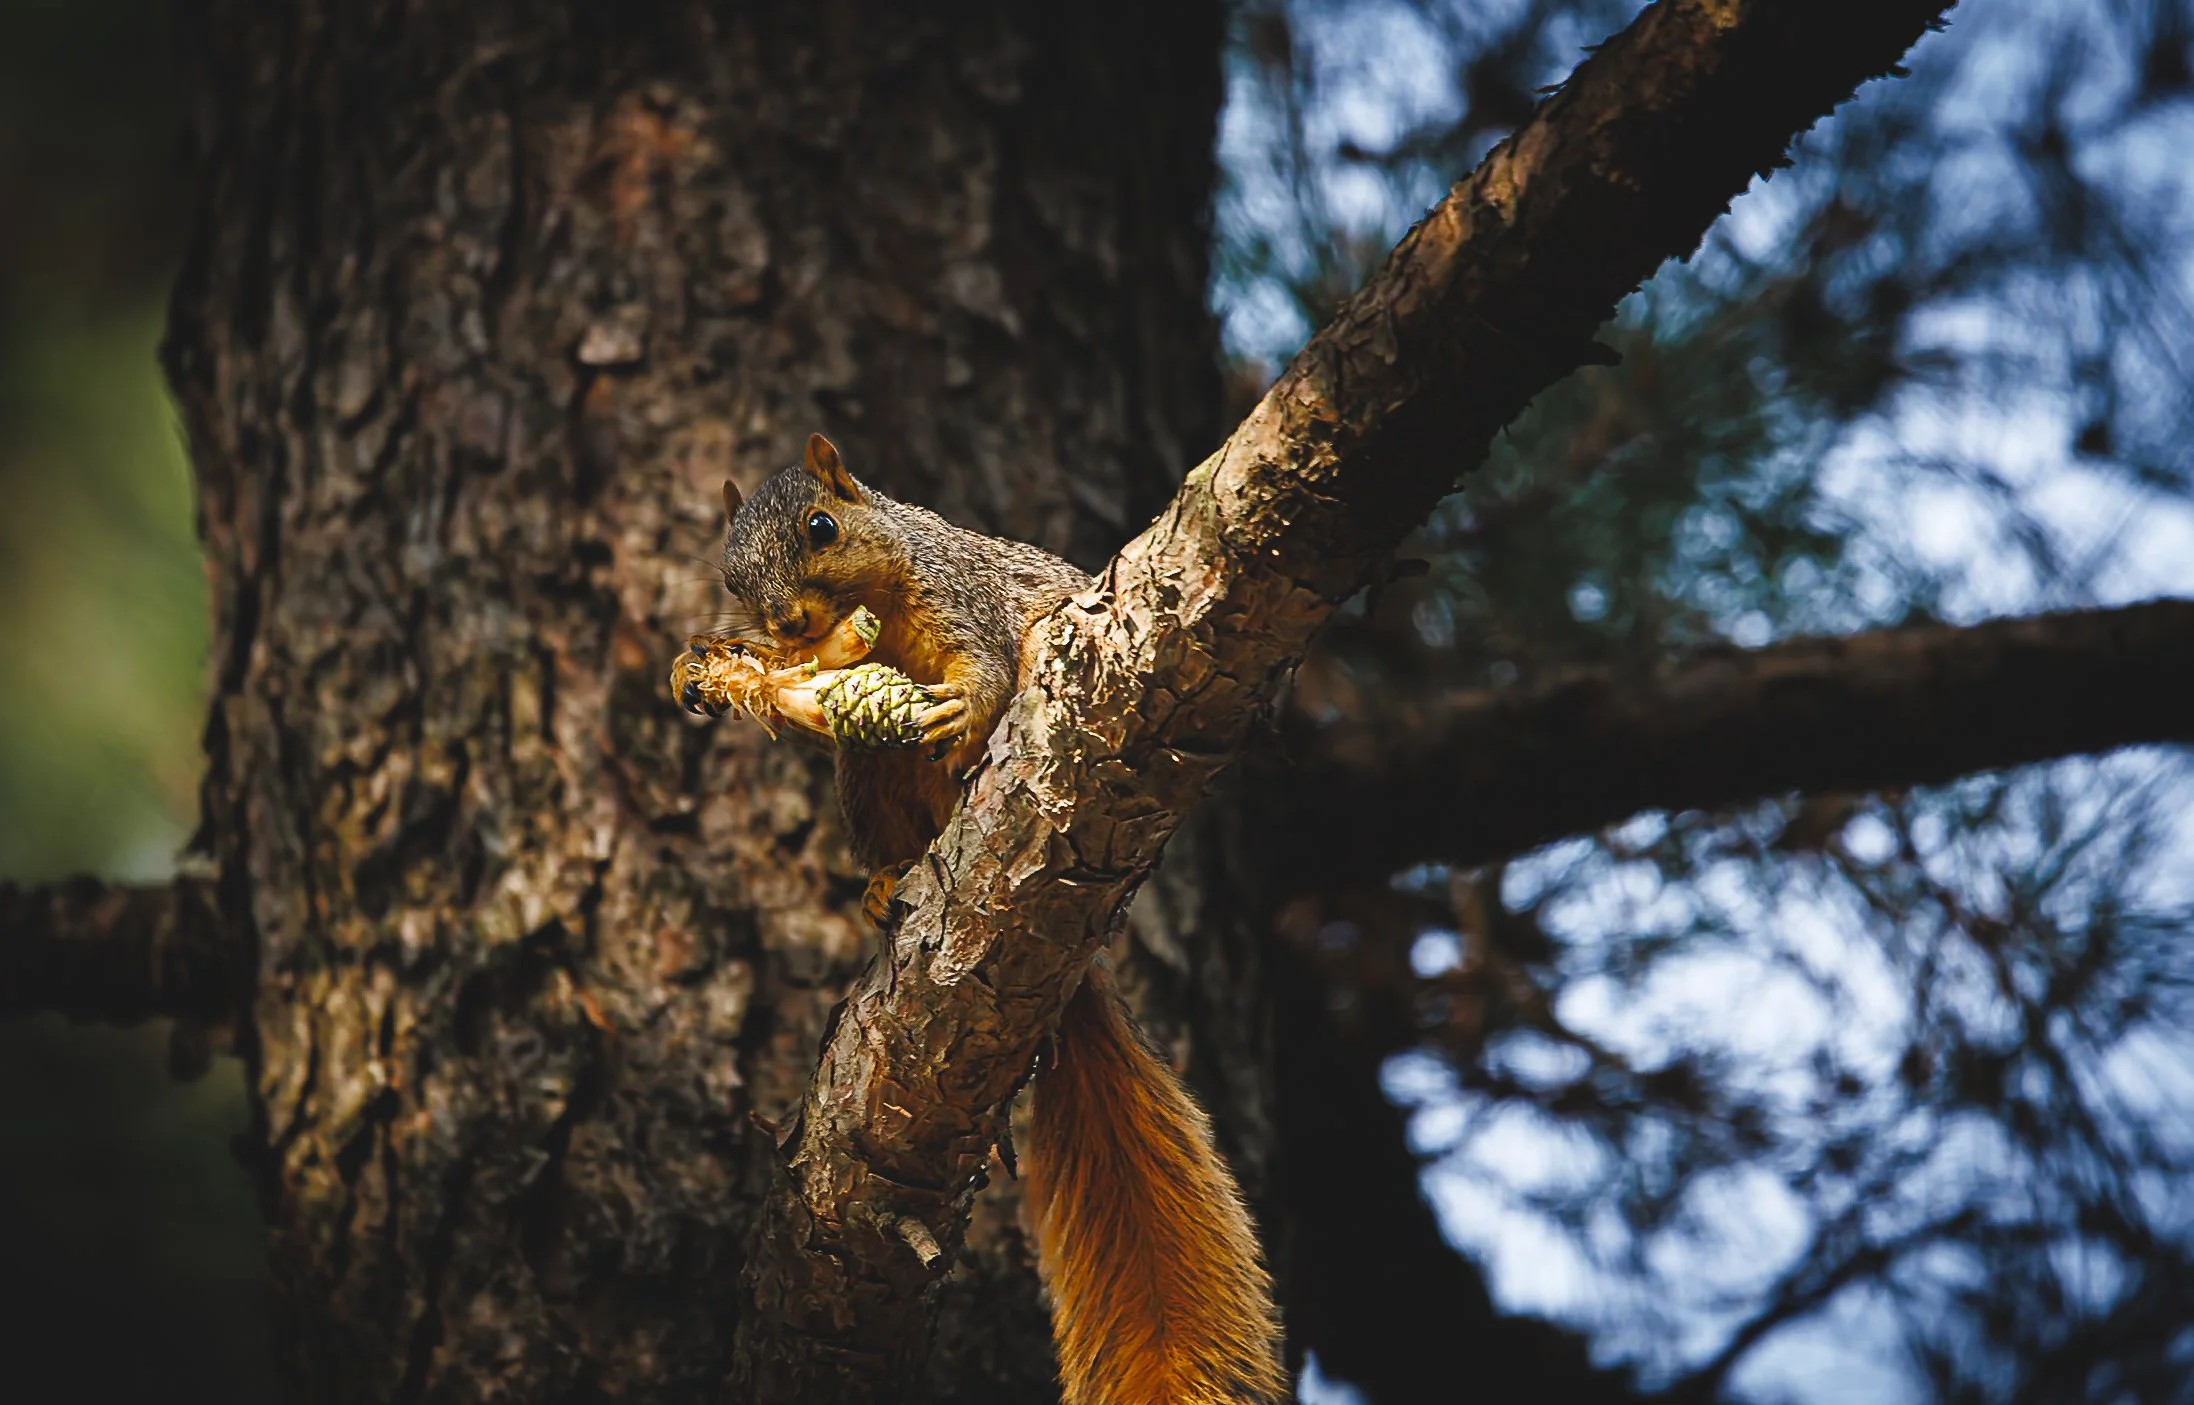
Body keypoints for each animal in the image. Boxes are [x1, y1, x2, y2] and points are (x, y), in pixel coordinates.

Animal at [717, 433, 1286, 1405]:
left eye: (821, 528)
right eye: (727, 574)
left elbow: (982, 669)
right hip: (866, 783)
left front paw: (961, 707)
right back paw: (885, 884)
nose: (786, 624)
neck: (879, 604)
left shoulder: (962, 602)